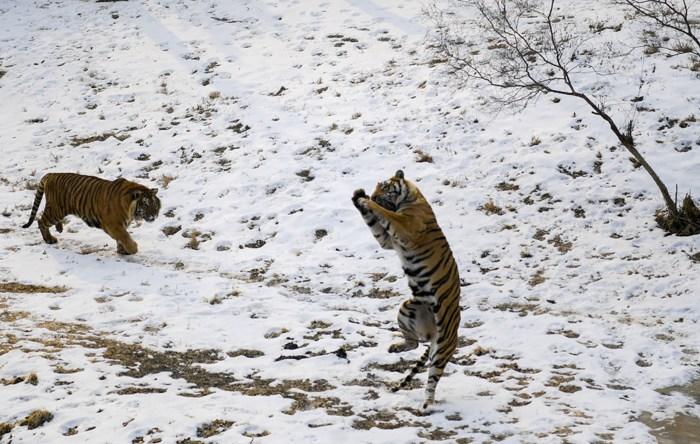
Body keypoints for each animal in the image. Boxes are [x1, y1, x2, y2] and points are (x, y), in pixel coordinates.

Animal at [22, 173, 161, 255]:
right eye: (145, 204)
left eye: (155, 204)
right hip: (56, 211)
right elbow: (124, 236)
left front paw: (123, 251)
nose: (154, 216)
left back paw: (59, 228)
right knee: (40, 221)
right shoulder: (112, 224)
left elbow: (121, 238)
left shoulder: (120, 225)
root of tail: (51, 174)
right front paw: (133, 249)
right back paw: (49, 239)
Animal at [352, 170, 461, 409]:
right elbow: (373, 223)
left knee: (433, 377)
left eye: (384, 187)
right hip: (408, 308)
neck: (411, 198)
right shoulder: (387, 240)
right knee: (414, 343)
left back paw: (426, 406)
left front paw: (366, 201)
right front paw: (357, 196)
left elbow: (385, 214)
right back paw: (394, 347)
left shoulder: (405, 227)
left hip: (442, 347)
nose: (373, 195)